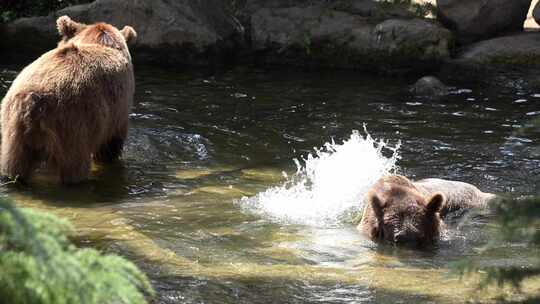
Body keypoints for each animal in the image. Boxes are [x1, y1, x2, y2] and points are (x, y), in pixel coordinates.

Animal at [1, 16, 136, 184]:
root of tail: (34, 102)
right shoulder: (118, 111)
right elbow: (110, 144)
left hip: (13, 129)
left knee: (13, 166)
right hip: (73, 124)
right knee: (74, 165)